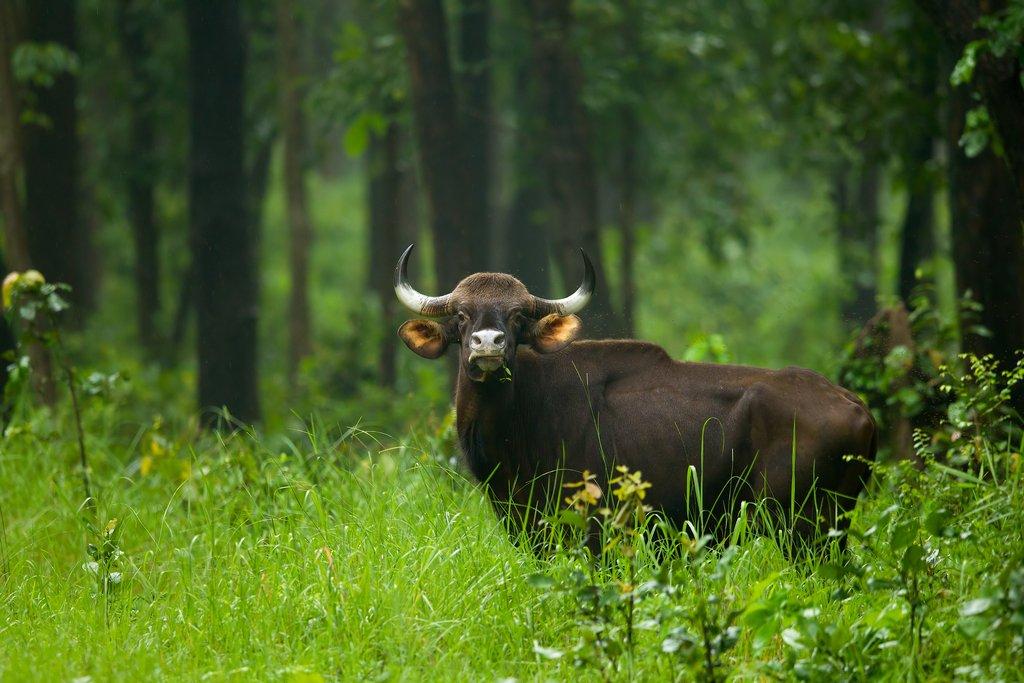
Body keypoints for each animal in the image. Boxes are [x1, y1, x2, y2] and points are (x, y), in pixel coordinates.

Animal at [395, 245, 876, 549]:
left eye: (515, 317)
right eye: (461, 315)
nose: (488, 344)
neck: (522, 419)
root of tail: (857, 408)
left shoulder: (591, 528)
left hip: (801, 523)